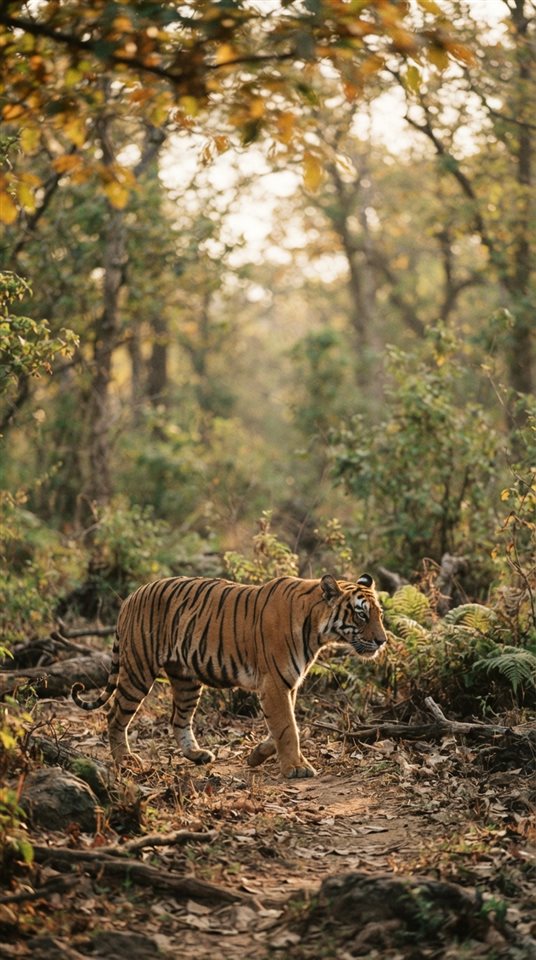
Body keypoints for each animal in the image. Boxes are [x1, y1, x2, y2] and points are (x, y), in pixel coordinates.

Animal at [72, 573, 387, 779]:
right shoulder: (274, 683)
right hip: (139, 669)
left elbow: (282, 726)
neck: (317, 630)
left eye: (380, 614)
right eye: (361, 614)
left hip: (186, 679)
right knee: (115, 715)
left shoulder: (288, 684)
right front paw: (295, 768)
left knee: (179, 719)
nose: (383, 641)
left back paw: (197, 754)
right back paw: (125, 761)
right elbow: (288, 727)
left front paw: (257, 755)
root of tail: (130, 597)